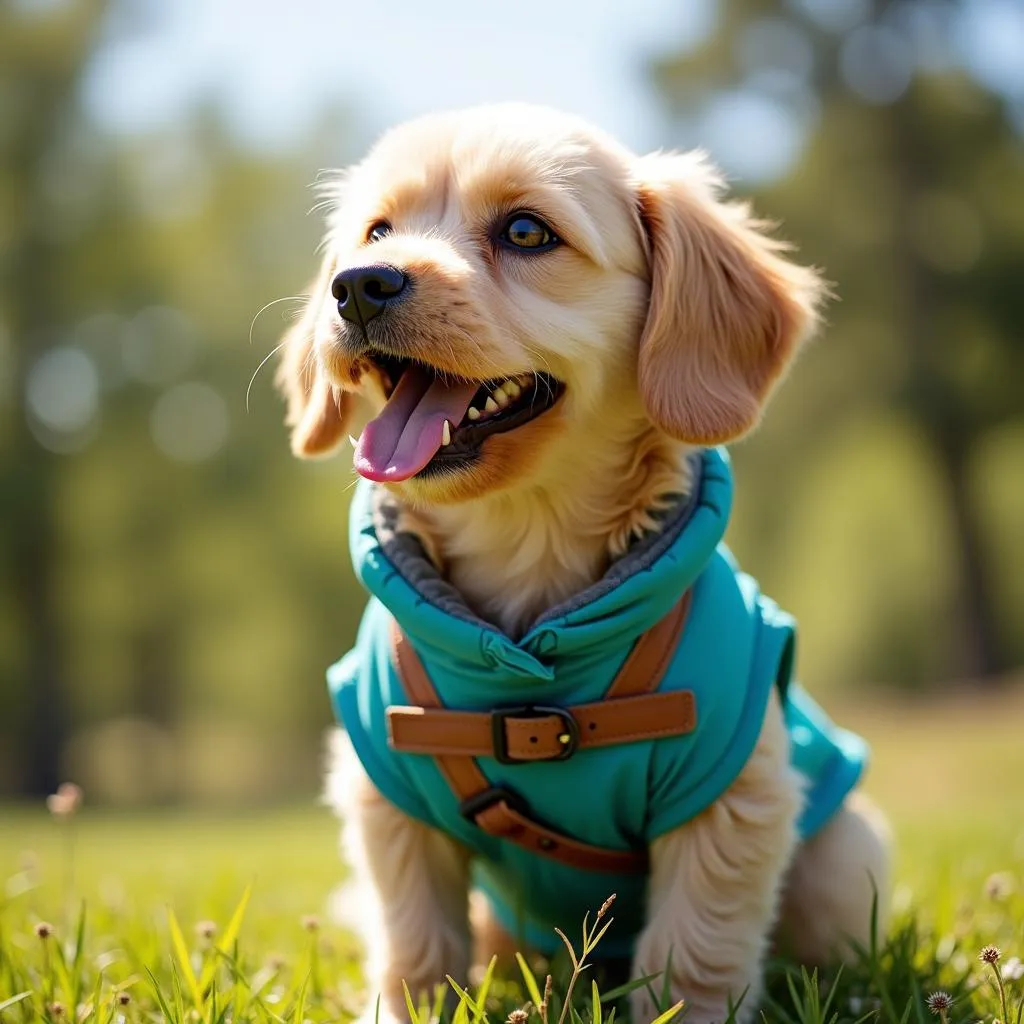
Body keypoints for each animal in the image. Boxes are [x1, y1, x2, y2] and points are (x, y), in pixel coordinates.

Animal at [276, 105, 892, 1024]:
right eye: (376, 231)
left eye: (527, 232)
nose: (357, 285)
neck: (528, 551)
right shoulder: (388, 797)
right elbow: (415, 944)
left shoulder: (732, 796)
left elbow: (694, 952)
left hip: (840, 862)